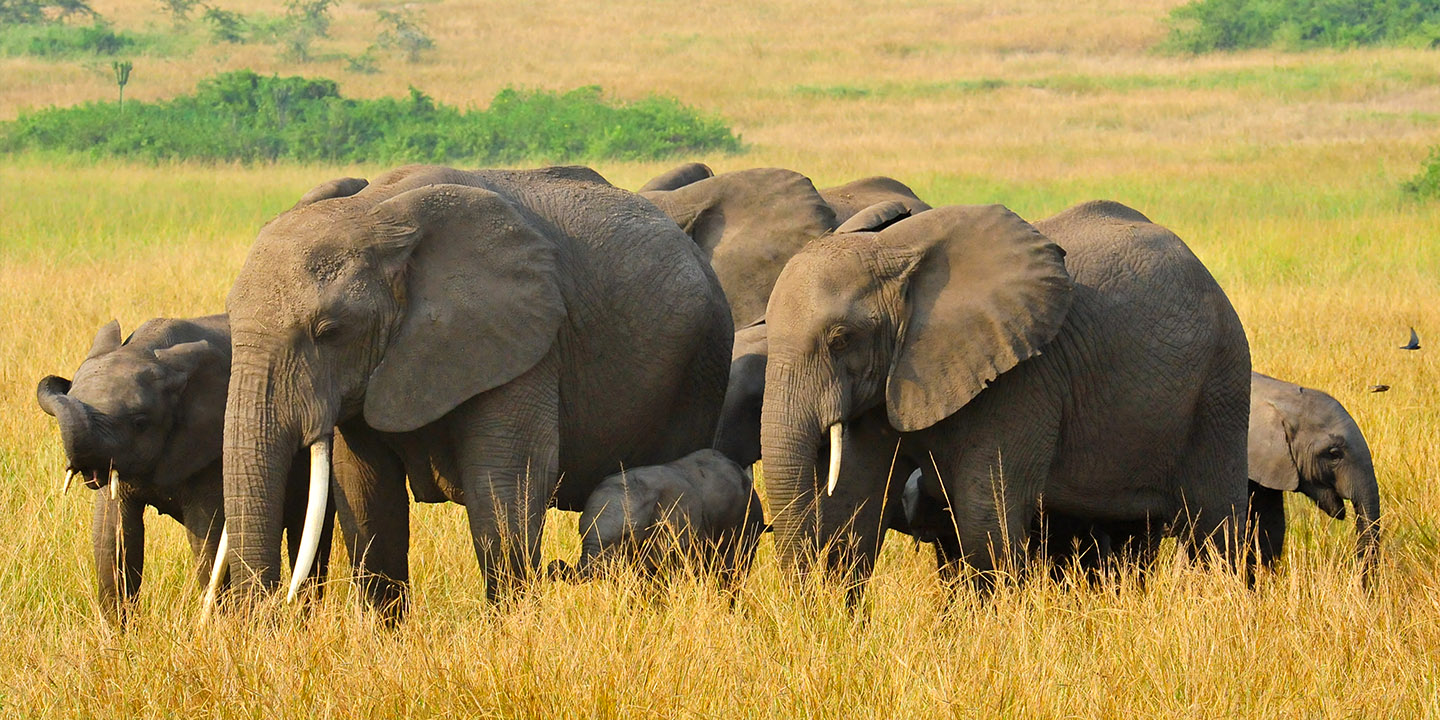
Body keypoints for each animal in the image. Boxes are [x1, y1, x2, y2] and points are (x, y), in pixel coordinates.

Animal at [221, 164, 731, 619]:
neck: (376, 212)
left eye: (329, 331)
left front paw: (512, 635)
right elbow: (366, 493)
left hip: (701, 362)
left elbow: (504, 484)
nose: (267, 618)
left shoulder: (524, 340)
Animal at [760, 200, 1255, 593]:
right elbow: (854, 503)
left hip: (1221, 385)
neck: (894, 251)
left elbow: (986, 515)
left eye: (841, 339)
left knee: (1216, 528)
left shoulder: (1024, 375)